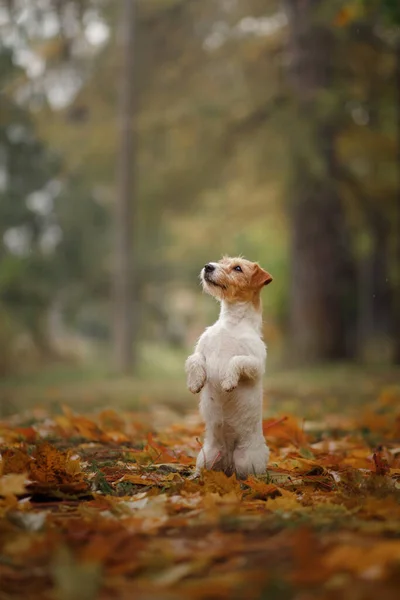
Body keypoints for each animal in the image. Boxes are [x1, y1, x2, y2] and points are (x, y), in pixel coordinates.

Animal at [186, 256, 274, 478]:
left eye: (238, 268)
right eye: (221, 261)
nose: (208, 267)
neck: (231, 324)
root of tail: (228, 463)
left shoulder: (255, 365)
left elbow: (236, 360)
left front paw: (227, 381)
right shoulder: (201, 351)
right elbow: (193, 360)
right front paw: (195, 383)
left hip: (246, 462)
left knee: (248, 475)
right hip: (206, 457)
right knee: (204, 469)